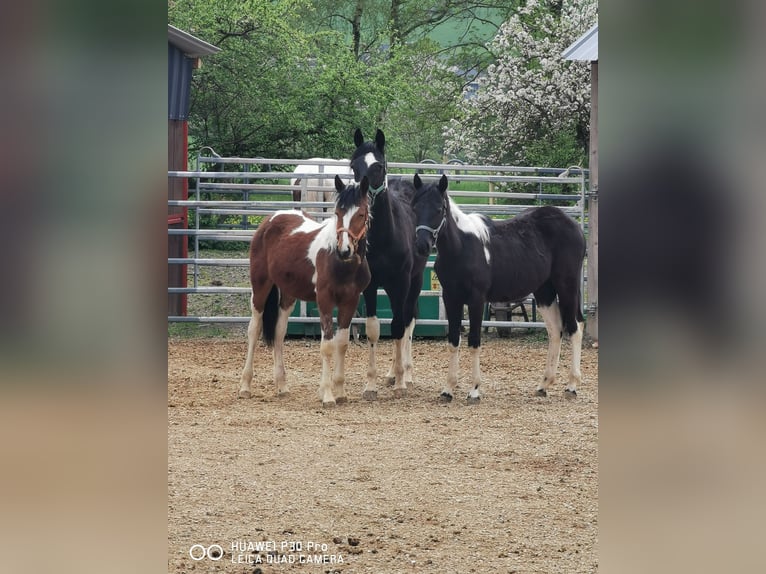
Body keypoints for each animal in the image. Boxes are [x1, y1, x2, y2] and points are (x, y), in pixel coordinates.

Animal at [240, 176, 372, 404]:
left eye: (361, 214)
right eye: (338, 213)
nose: (344, 250)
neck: (342, 264)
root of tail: (269, 220)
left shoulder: (350, 301)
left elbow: (342, 344)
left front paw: (340, 392)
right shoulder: (325, 301)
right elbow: (327, 345)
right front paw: (327, 395)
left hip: (288, 294)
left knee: (279, 332)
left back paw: (282, 386)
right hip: (260, 286)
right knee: (254, 329)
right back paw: (245, 386)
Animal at [352, 129, 428, 402]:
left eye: (378, 166)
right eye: (353, 165)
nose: (361, 199)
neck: (385, 235)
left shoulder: (401, 282)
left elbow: (398, 325)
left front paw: (401, 383)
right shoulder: (370, 285)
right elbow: (374, 329)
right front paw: (371, 385)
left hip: (415, 281)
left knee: (408, 320)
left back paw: (406, 374)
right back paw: (391, 373)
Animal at [414, 173, 588, 402]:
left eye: (438, 209)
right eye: (415, 206)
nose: (422, 246)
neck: (461, 247)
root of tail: (575, 227)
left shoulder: (476, 300)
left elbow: (474, 340)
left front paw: (474, 390)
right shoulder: (451, 298)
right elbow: (453, 340)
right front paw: (448, 389)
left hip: (567, 285)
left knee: (575, 328)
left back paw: (571, 386)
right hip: (545, 292)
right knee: (555, 329)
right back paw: (544, 385)